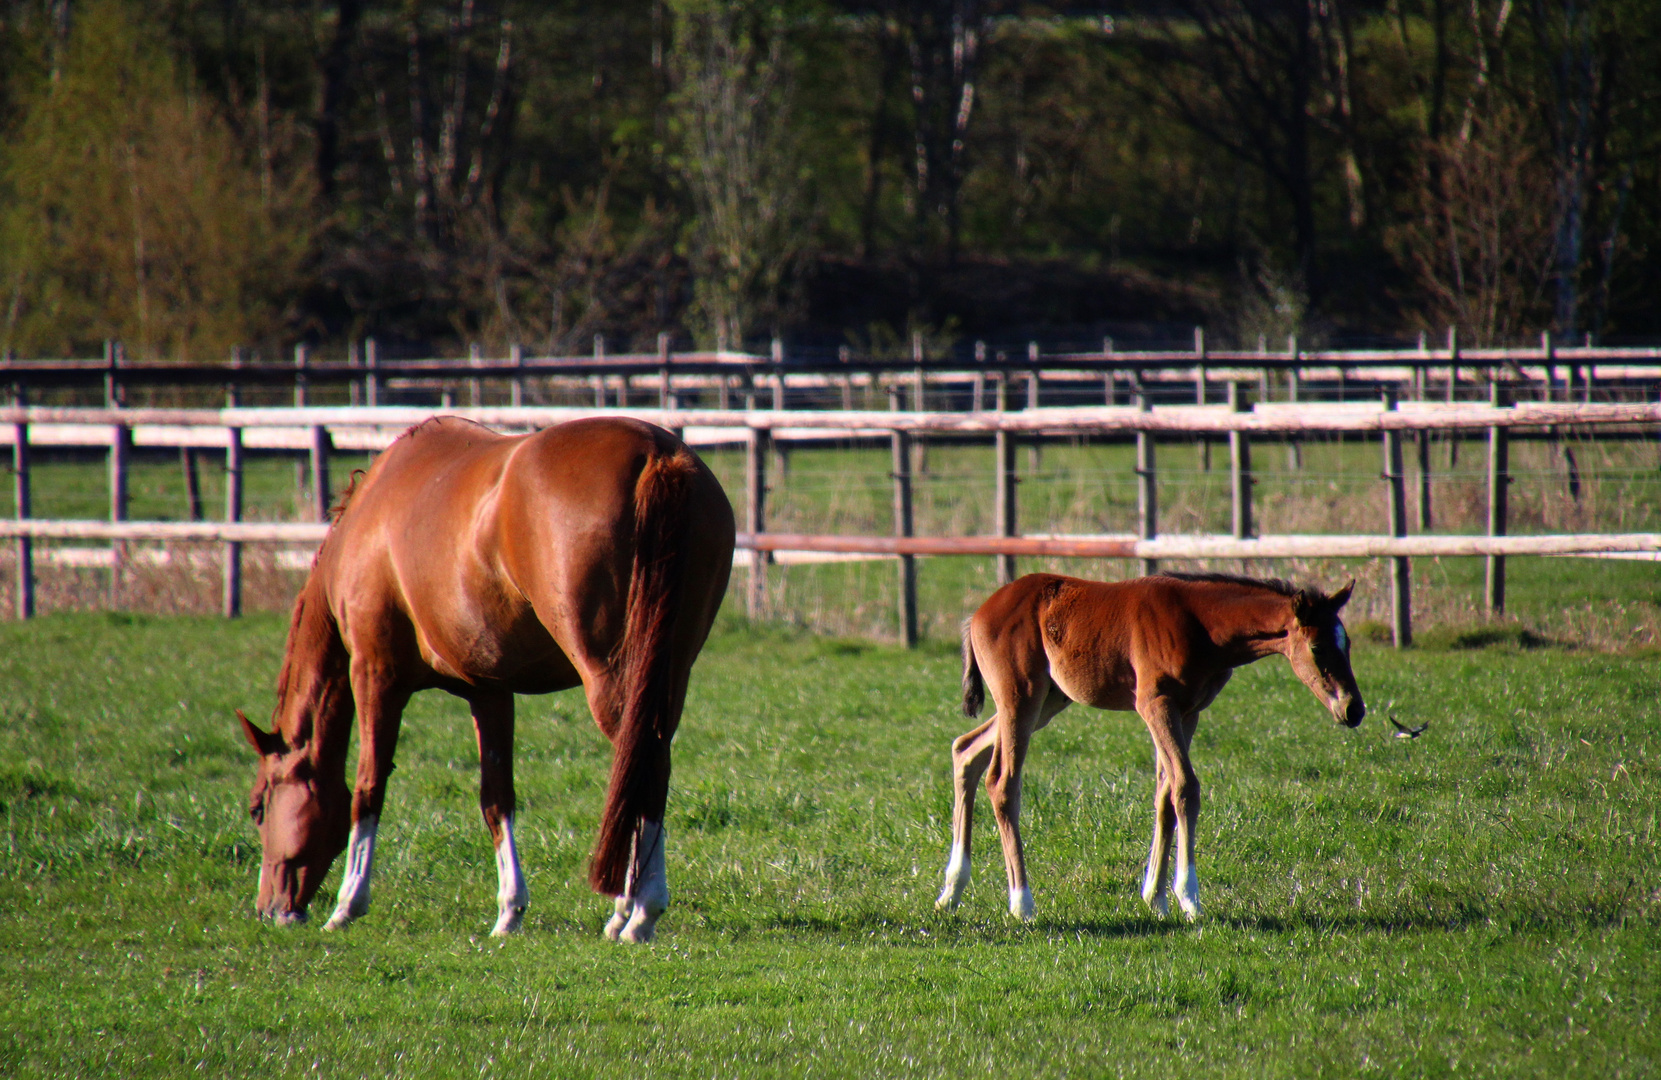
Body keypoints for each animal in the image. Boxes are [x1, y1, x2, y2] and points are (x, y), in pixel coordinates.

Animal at [237, 417, 730, 937]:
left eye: (257, 808)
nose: (270, 909)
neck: (369, 520)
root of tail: (657, 454)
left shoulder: (374, 674)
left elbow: (368, 789)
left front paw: (348, 904)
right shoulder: (489, 689)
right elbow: (496, 798)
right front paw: (509, 911)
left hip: (614, 676)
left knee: (641, 765)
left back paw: (640, 912)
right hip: (666, 674)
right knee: (648, 767)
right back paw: (627, 909)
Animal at [936, 571, 1362, 917]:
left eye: (1348, 645)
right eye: (1318, 648)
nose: (1353, 709)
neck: (1200, 624)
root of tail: (979, 613)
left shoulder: (1189, 712)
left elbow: (1165, 793)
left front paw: (1155, 898)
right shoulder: (1155, 703)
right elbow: (1186, 787)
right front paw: (1189, 897)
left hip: (1049, 700)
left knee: (965, 751)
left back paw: (952, 890)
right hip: (1021, 697)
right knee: (1002, 782)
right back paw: (1021, 903)